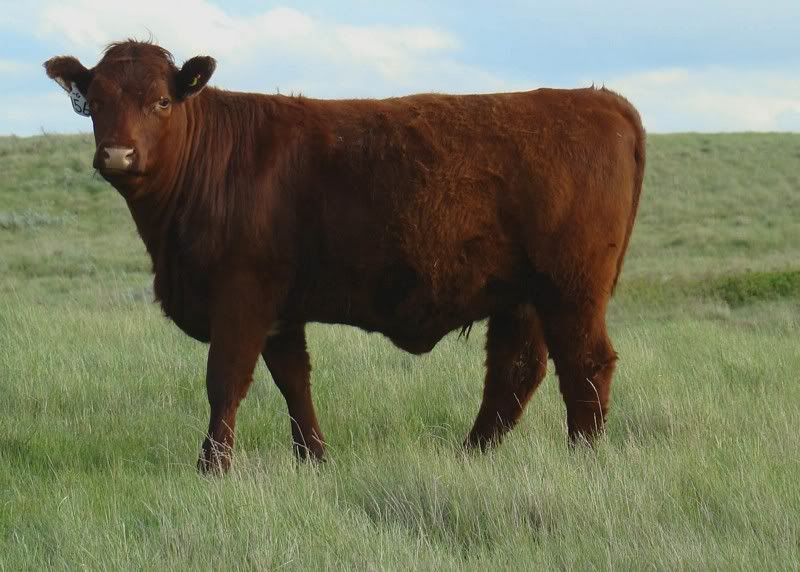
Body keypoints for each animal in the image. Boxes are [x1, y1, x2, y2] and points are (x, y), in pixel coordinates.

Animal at [45, 40, 645, 473]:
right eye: (96, 103)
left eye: (162, 101)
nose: (117, 154)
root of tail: (600, 99)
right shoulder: (280, 311)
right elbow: (293, 380)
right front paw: (314, 459)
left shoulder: (241, 296)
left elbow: (226, 381)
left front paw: (211, 469)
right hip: (521, 296)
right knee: (515, 372)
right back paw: (470, 457)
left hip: (570, 289)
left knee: (585, 365)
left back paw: (583, 461)